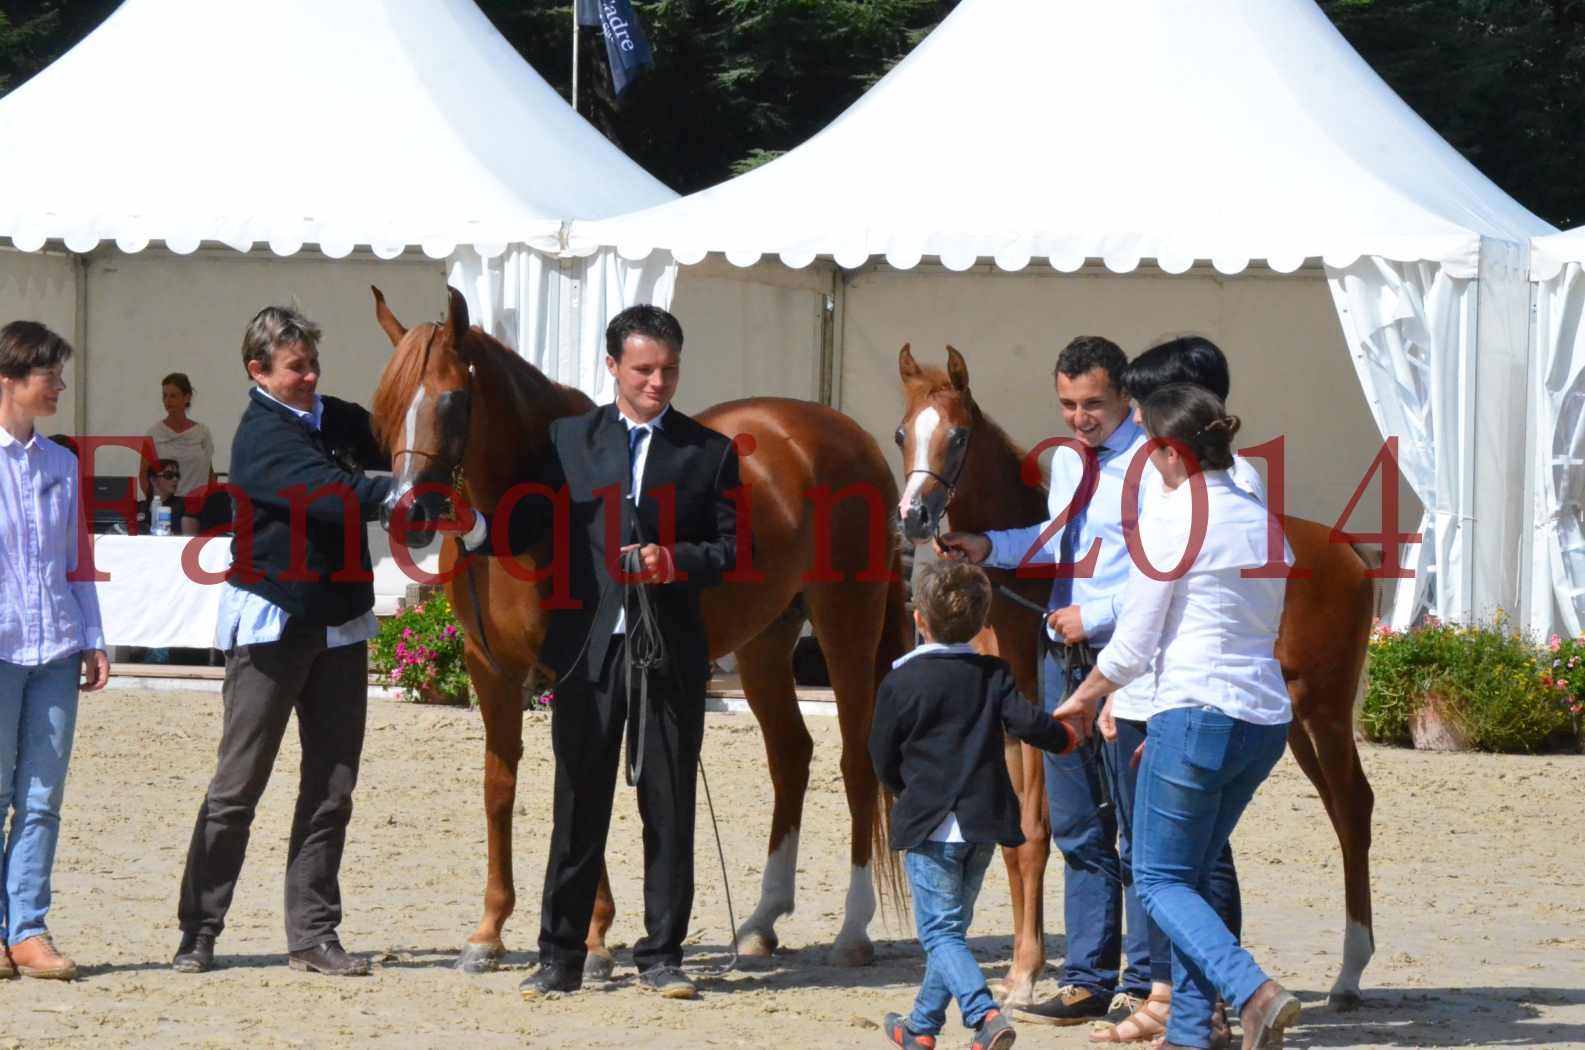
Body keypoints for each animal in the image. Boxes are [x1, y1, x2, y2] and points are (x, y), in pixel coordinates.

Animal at [362, 288, 906, 977]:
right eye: (385, 404)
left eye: (453, 399)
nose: (407, 512)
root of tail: (848, 436)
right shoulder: (492, 672)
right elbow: (501, 786)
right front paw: (488, 933)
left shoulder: (579, 670)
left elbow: (585, 783)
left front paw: (593, 940)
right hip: (765, 641)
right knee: (791, 756)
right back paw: (760, 924)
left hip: (846, 625)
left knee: (856, 761)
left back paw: (853, 931)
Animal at [893, 345, 1375, 1015]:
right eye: (902, 434)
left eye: (959, 435)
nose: (913, 516)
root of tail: (1348, 550)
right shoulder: (1010, 729)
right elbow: (1017, 847)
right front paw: (1023, 974)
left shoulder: (1040, 724)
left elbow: (1034, 838)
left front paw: (1027, 972)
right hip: (1292, 721)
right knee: (1337, 806)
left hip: (1324, 711)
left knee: (1353, 809)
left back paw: (1349, 975)